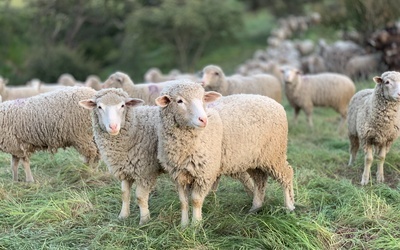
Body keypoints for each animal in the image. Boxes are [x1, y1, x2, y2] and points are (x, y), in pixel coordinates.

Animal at [79, 88, 164, 225]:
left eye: (123, 105)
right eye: (99, 107)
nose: (113, 127)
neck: (137, 127)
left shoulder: (145, 171)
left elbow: (140, 197)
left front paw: (144, 220)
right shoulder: (124, 169)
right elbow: (124, 194)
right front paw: (123, 216)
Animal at [155, 82, 294, 227]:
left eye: (203, 99)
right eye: (179, 101)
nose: (203, 120)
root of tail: (274, 103)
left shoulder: (205, 172)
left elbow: (196, 200)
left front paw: (196, 225)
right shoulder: (179, 175)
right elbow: (183, 202)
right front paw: (183, 226)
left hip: (274, 153)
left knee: (287, 174)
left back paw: (289, 207)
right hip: (253, 158)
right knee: (260, 180)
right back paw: (255, 207)